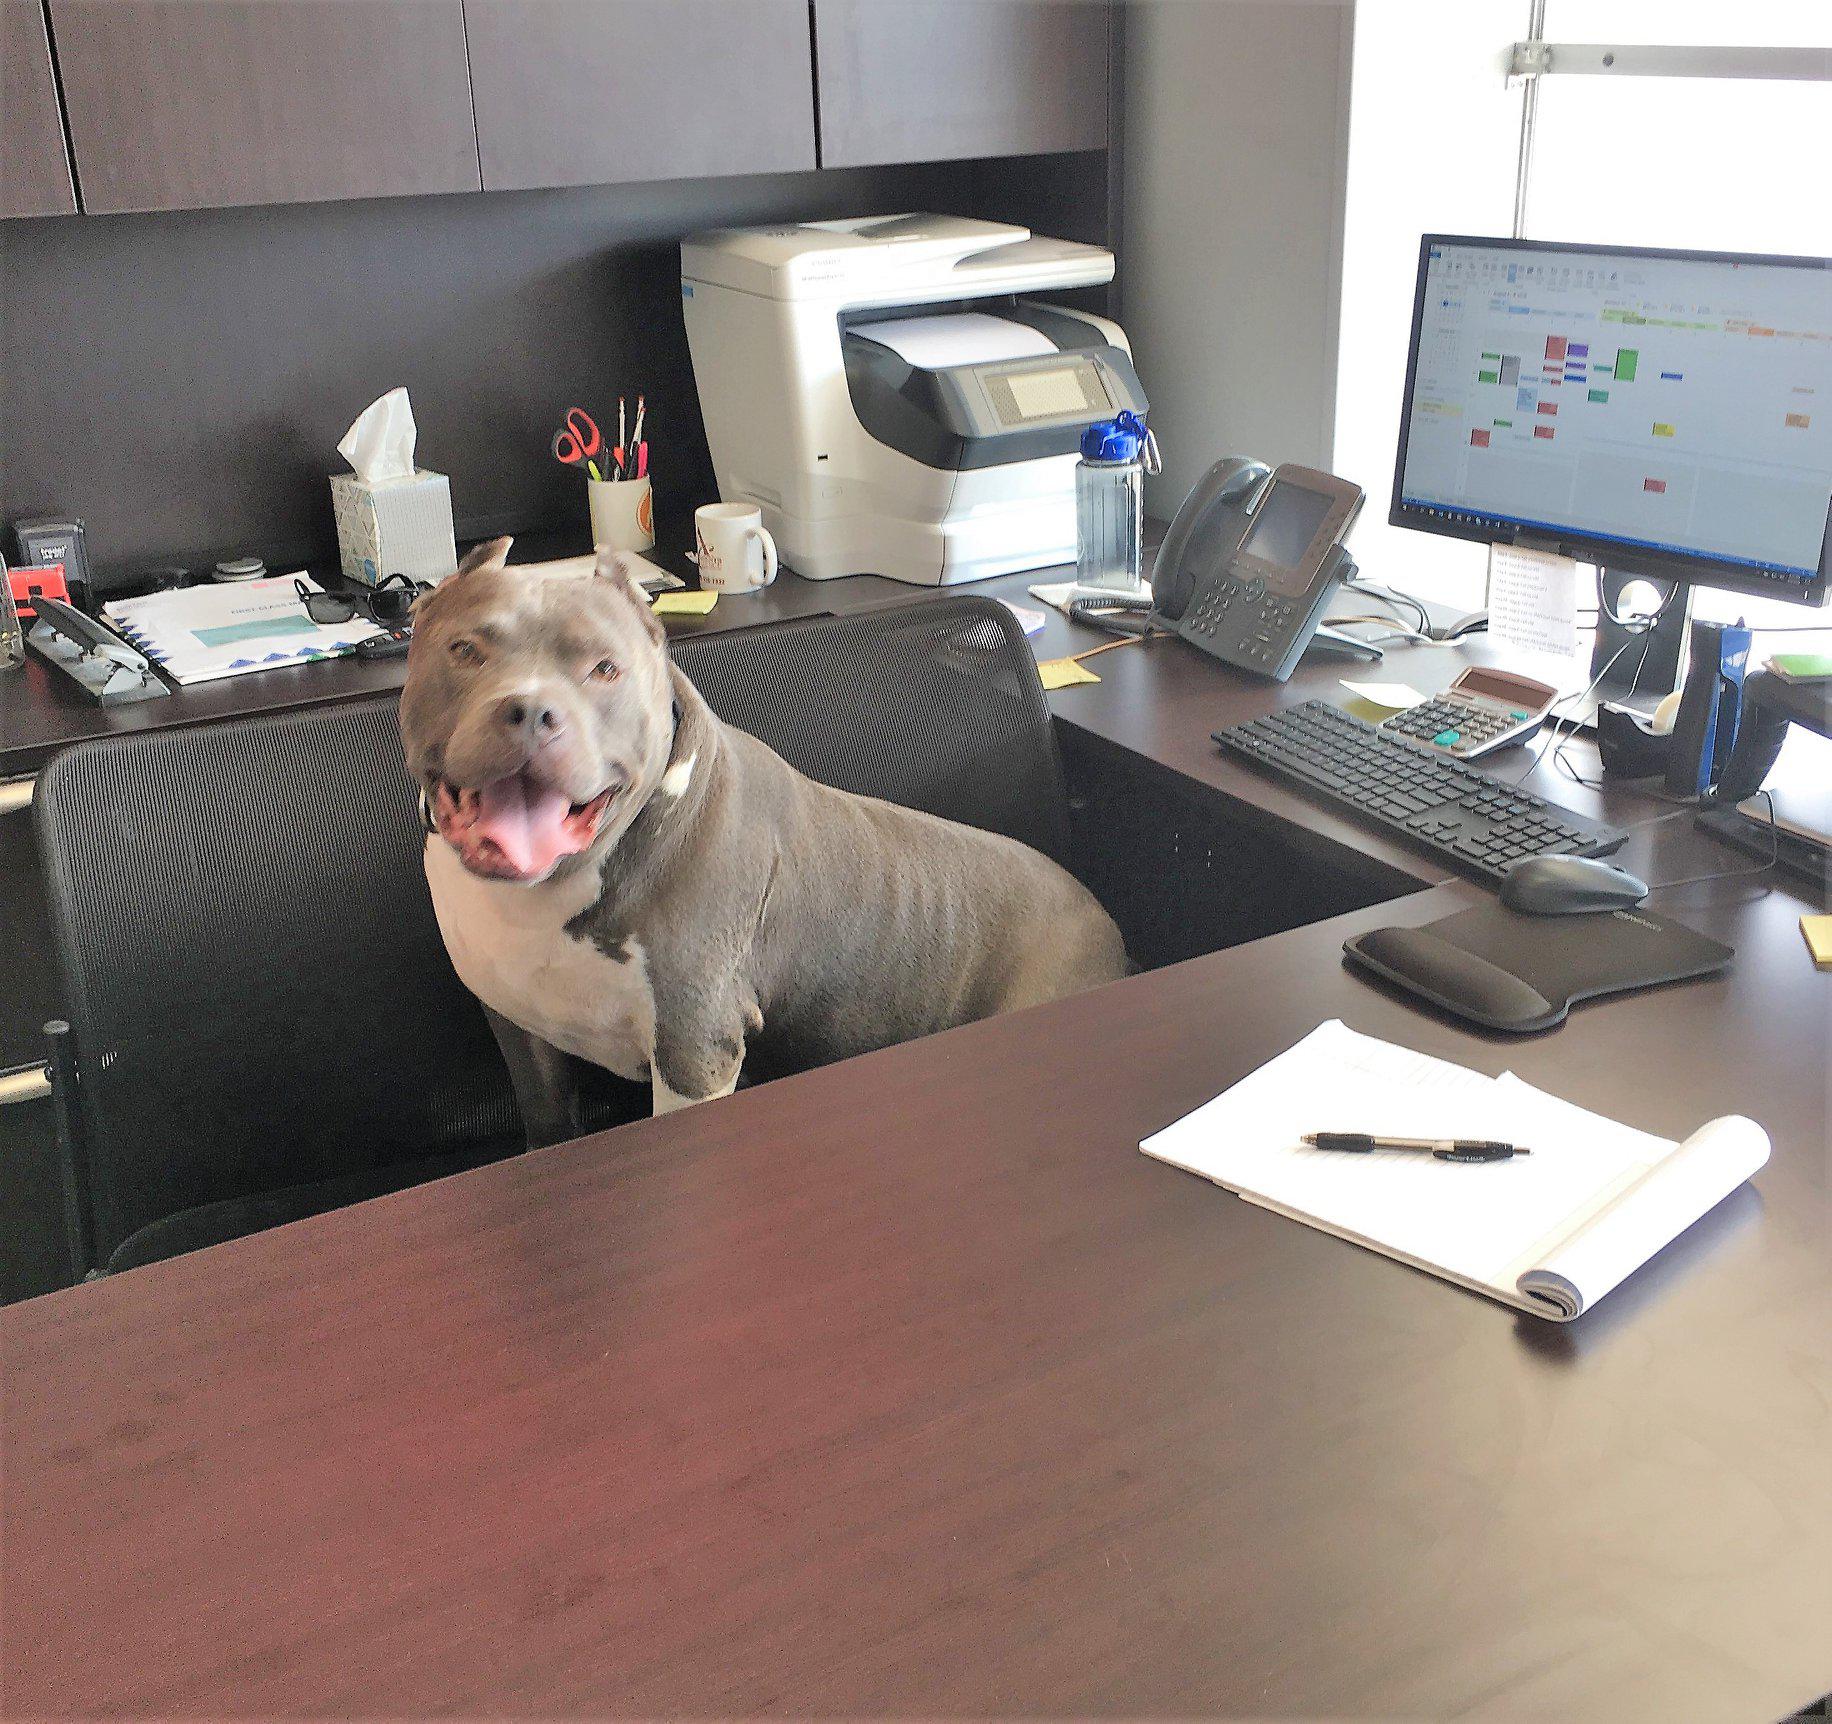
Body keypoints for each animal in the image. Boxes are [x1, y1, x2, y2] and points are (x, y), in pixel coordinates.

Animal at [401, 538, 1128, 1143]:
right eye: (464, 650)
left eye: (604, 669)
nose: (529, 710)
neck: (551, 889)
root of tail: (1103, 917)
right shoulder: (521, 1032)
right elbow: (548, 1123)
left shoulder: (694, 1048)